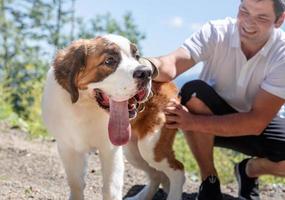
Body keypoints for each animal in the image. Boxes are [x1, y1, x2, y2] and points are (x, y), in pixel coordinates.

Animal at [41, 34, 184, 200]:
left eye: (136, 57)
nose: (146, 72)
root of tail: (170, 83)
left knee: (178, 171)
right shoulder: (67, 148)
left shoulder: (110, 150)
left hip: (150, 147)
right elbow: (75, 183)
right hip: (133, 152)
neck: (84, 106)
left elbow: (110, 189)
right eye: (109, 61)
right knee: (157, 174)